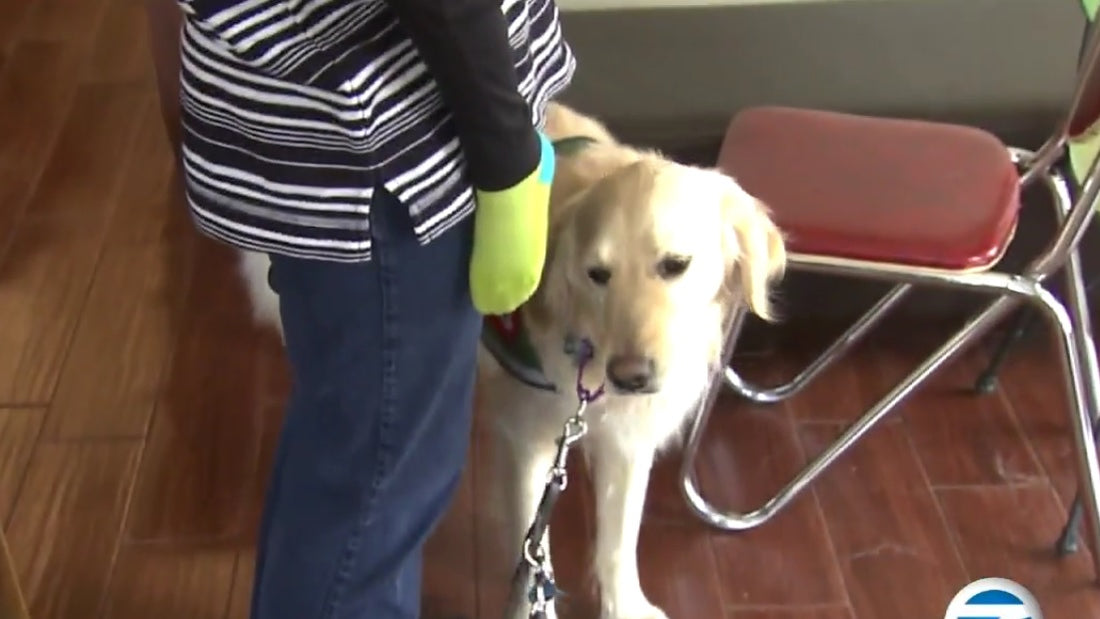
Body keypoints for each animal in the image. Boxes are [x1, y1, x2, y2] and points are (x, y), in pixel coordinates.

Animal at [234, 102, 783, 619]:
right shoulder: (529, 438)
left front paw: (624, 606)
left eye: (675, 265)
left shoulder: (628, 434)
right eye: (597, 274)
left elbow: (618, 538)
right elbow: (533, 556)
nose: (630, 377)